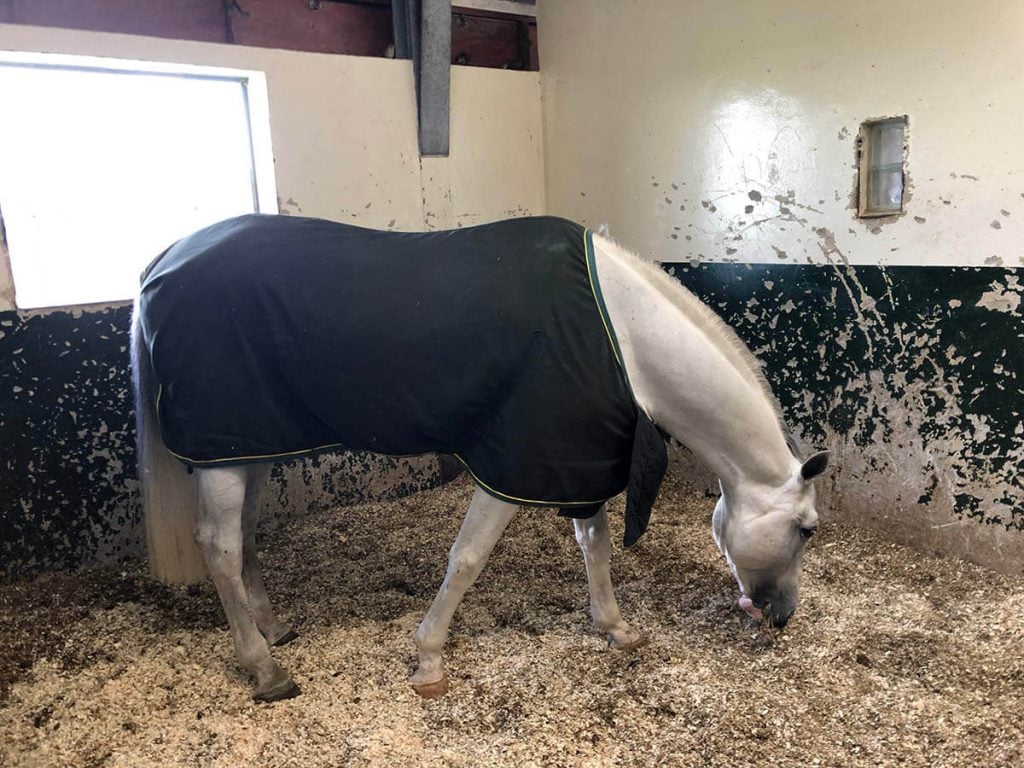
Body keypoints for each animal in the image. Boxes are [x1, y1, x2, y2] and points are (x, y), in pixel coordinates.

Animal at [131, 214, 829, 702]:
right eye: (806, 529)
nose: (783, 616)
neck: (623, 334)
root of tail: (167, 258)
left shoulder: (573, 457)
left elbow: (595, 548)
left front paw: (614, 627)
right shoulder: (514, 465)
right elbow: (467, 559)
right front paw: (428, 659)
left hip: (246, 447)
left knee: (244, 536)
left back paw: (271, 631)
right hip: (222, 456)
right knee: (219, 544)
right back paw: (264, 668)